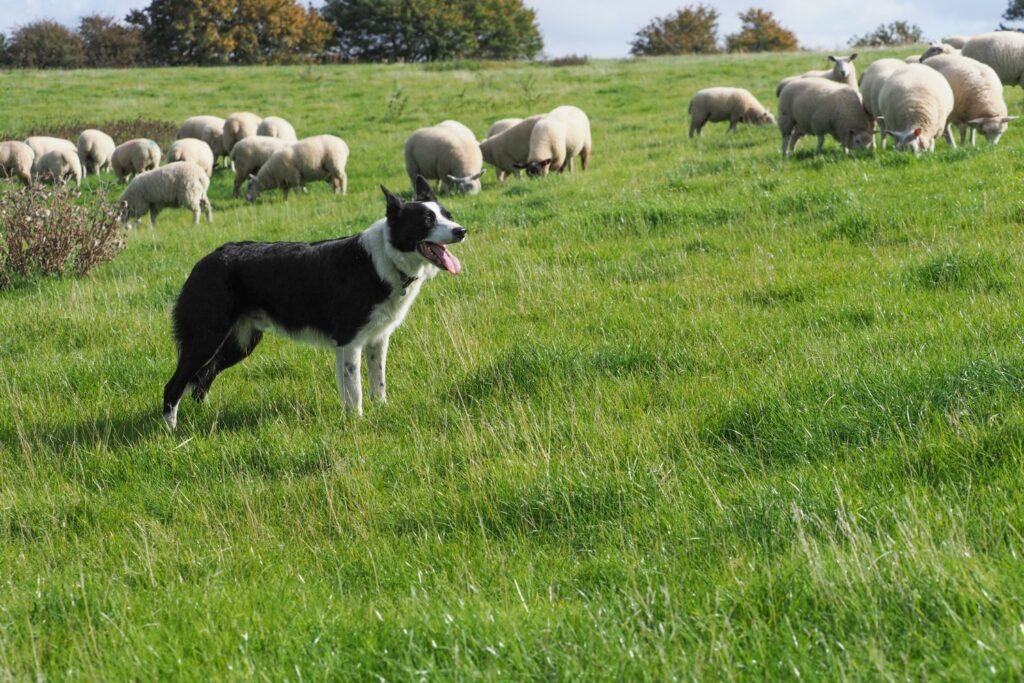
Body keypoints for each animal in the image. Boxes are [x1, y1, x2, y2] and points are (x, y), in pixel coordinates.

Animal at [161, 178, 466, 432]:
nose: (461, 231)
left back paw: (203, 416)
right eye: (427, 220)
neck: (385, 259)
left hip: (239, 343)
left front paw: (380, 411)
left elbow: (376, 383)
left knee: (201, 380)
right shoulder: (350, 342)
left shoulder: (377, 340)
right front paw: (357, 422)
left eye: (448, 216)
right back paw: (171, 433)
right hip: (206, 338)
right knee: (174, 385)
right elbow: (355, 389)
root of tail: (204, 262)